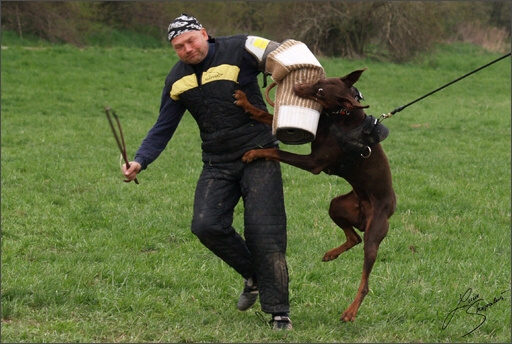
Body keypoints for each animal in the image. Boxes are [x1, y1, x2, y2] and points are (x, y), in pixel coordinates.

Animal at [234, 69, 398, 322]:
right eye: (320, 81)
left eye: (320, 91)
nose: (296, 87)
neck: (342, 117)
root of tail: (391, 206)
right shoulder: (315, 131)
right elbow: (266, 115)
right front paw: (244, 102)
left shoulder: (314, 163)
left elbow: (277, 151)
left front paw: (254, 153)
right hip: (338, 205)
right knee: (354, 238)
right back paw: (331, 254)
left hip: (375, 232)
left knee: (365, 278)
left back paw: (350, 311)